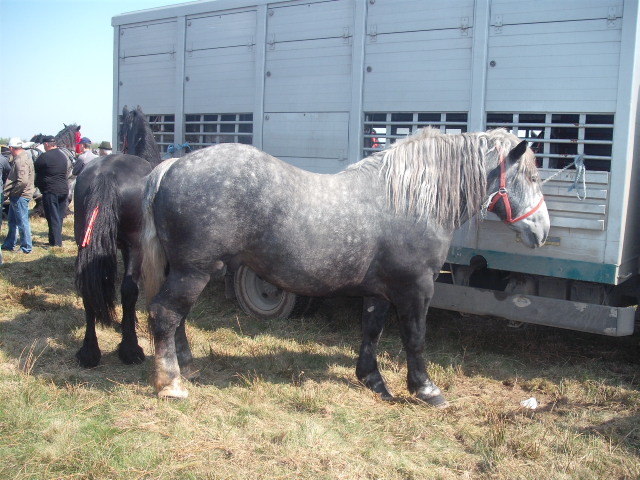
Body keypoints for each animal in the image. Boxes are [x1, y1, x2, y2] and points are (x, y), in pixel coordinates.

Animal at [74, 105, 162, 368]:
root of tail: (106, 174)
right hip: (135, 246)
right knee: (128, 289)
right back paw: (131, 349)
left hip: (85, 241)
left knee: (88, 288)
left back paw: (89, 352)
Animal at [141, 127, 552, 404]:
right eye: (531, 176)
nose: (543, 230)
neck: (411, 201)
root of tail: (173, 164)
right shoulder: (416, 288)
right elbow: (415, 337)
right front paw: (426, 389)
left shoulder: (380, 291)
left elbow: (371, 331)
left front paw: (373, 380)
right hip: (194, 271)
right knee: (165, 313)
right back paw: (170, 383)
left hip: (185, 270)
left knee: (177, 317)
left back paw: (185, 365)